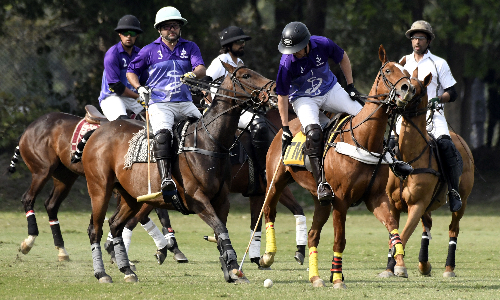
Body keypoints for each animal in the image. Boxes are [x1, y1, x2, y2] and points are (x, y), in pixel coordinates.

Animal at [80, 61, 276, 284]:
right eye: (246, 75)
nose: (273, 91)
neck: (210, 142)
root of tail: (97, 132)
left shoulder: (221, 199)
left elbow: (220, 231)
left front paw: (230, 269)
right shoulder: (198, 200)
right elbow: (220, 228)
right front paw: (235, 268)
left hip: (130, 196)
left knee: (115, 224)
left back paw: (127, 269)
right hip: (100, 189)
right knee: (95, 229)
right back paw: (102, 273)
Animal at [260, 45, 420, 288]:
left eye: (408, 72)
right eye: (388, 70)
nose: (408, 89)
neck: (364, 140)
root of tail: (284, 128)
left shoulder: (375, 197)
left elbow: (393, 227)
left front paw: (400, 265)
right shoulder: (342, 200)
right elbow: (339, 240)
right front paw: (337, 278)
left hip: (321, 200)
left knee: (312, 234)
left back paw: (315, 278)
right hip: (276, 180)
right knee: (269, 211)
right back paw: (268, 256)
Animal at [380, 69, 474, 278]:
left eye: (418, 88)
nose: (399, 96)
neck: (408, 158)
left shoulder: (417, 204)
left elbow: (403, 235)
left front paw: (399, 267)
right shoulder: (393, 203)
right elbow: (394, 236)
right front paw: (390, 268)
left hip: (462, 201)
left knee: (453, 229)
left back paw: (449, 268)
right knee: (428, 226)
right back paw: (424, 265)